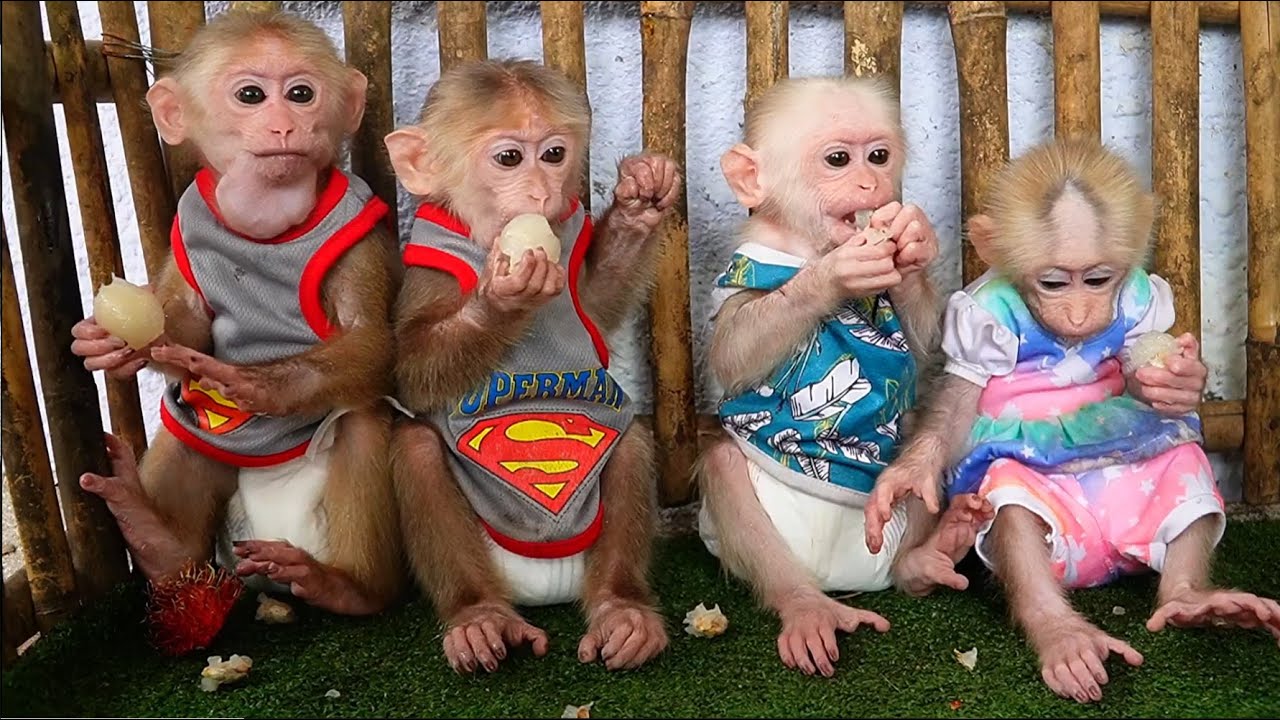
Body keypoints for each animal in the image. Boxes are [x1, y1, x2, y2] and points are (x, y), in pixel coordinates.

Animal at [68, 9, 405, 642]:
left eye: (301, 94)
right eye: (250, 95)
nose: (283, 125)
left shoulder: (362, 242)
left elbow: (371, 338)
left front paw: (264, 384)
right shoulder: (186, 228)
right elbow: (184, 322)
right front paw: (105, 344)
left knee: (360, 423)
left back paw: (348, 587)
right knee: (185, 434)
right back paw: (158, 542)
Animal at [382, 59, 681, 674]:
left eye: (554, 154)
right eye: (509, 158)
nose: (542, 190)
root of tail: (544, 588)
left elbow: (595, 305)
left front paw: (639, 207)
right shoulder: (429, 275)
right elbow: (412, 369)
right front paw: (499, 301)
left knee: (632, 442)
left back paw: (621, 609)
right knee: (416, 448)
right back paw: (479, 615)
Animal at [694, 74, 994, 679]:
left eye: (879, 155)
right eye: (838, 159)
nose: (869, 181)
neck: (806, 244)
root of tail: (843, 577)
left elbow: (924, 339)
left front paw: (912, 244)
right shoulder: (740, 277)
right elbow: (734, 349)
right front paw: (832, 277)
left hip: (885, 529)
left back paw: (927, 556)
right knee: (722, 466)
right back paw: (807, 609)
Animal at [874, 136, 1280, 704]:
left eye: (1096, 279)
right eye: (1052, 283)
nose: (1080, 314)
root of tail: (1102, 563)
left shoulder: (1145, 301)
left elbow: (1140, 371)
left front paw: (1179, 380)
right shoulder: (978, 321)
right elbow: (958, 402)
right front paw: (911, 473)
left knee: (1183, 466)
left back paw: (1194, 602)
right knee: (1013, 506)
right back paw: (1059, 632)